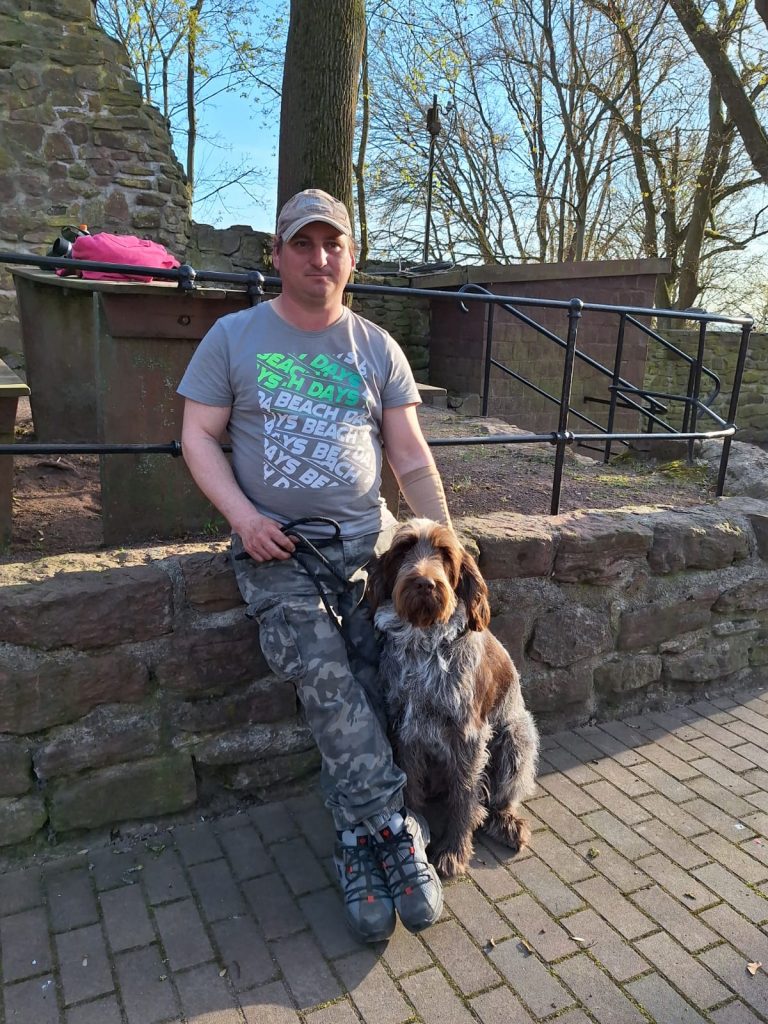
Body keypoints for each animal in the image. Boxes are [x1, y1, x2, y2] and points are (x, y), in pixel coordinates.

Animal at [367, 518, 539, 879]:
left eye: (445, 554)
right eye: (403, 550)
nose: (425, 583)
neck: (424, 642)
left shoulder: (467, 735)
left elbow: (464, 796)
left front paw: (454, 851)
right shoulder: (406, 727)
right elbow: (410, 786)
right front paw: (414, 832)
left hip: (516, 737)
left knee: (499, 795)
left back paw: (506, 821)